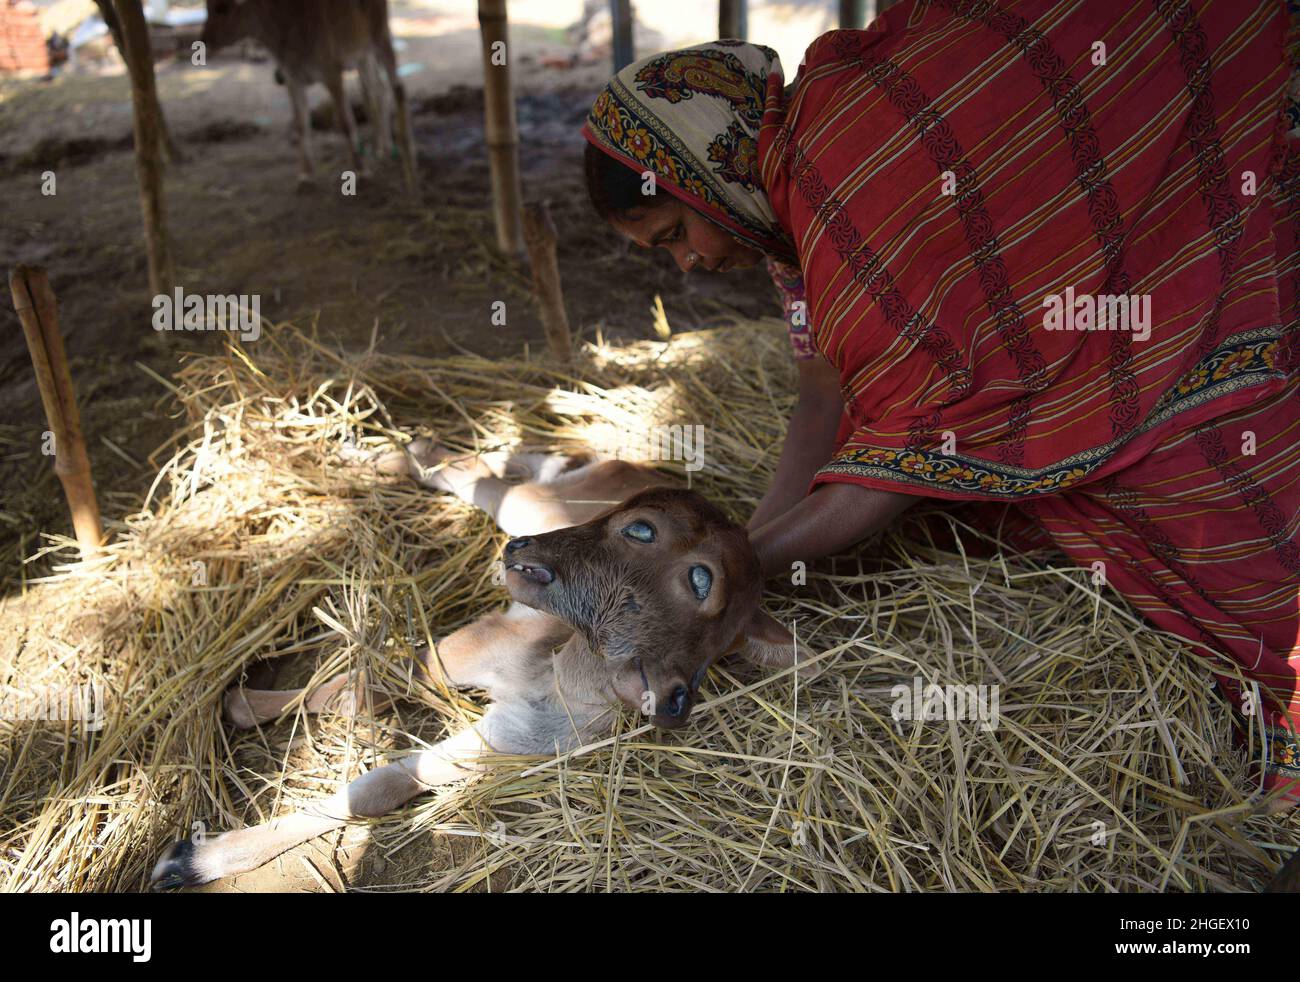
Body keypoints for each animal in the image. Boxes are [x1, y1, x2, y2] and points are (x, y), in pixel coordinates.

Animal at [149, 442, 800, 889]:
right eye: (640, 525)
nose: (674, 700)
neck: (553, 677)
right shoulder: (472, 642)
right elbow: (369, 681)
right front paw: (241, 704)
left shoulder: (506, 740)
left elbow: (376, 787)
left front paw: (188, 861)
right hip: (531, 512)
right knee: (486, 477)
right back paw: (391, 457)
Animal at [200, 0, 418, 189]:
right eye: (207, 7)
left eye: (222, 7)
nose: (204, 40)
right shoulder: (292, 79)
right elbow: (301, 124)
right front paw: (305, 176)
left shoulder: (331, 72)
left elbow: (345, 122)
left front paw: (362, 170)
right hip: (362, 55)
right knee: (375, 92)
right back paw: (382, 147)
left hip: (380, 35)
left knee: (395, 87)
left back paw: (401, 152)